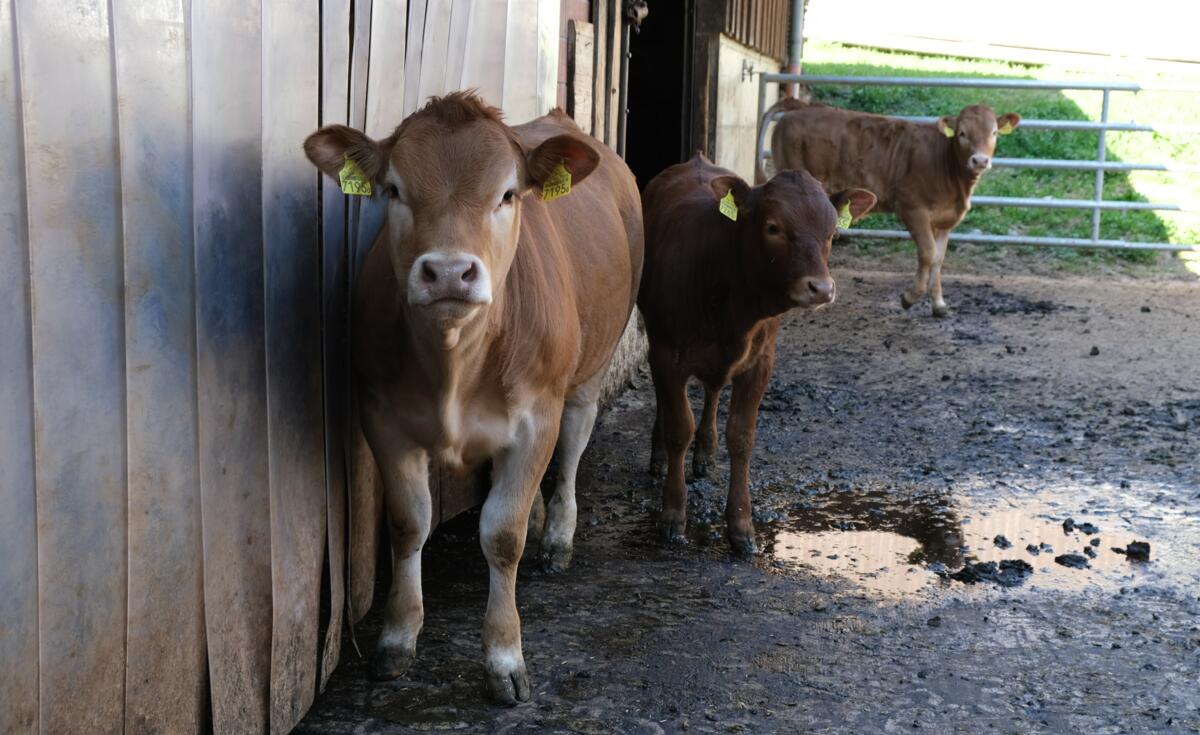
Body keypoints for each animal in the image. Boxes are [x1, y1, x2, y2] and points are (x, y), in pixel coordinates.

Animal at [303, 93, 643, 704]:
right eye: (394, 190)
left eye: (507, 194)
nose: (447, 272)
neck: (454, 366)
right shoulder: (382, 419)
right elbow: (408, 523)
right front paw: (397, 637)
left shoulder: (536, 420)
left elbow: (502, 535)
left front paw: (504, 657)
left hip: (588, 372)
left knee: (572, 449)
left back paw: (558, 536)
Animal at [639, 154, 874, 554]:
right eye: (773, 227)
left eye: (832, 233)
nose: (821, 288)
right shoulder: (667, 353)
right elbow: (678, 428)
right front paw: (673, 514)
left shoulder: (760, 361)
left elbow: (741, 437)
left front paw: (741, 525)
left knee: (714, 391)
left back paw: (706, 451)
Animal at [764, 99, 1020, 317]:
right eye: (962, 134)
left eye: (994, 133)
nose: (980, 161)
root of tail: (803, 106)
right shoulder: (912, 207)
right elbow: (927, 253)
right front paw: (910, 297)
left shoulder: (945, 221)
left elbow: (938, 259)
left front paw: (939, 304)